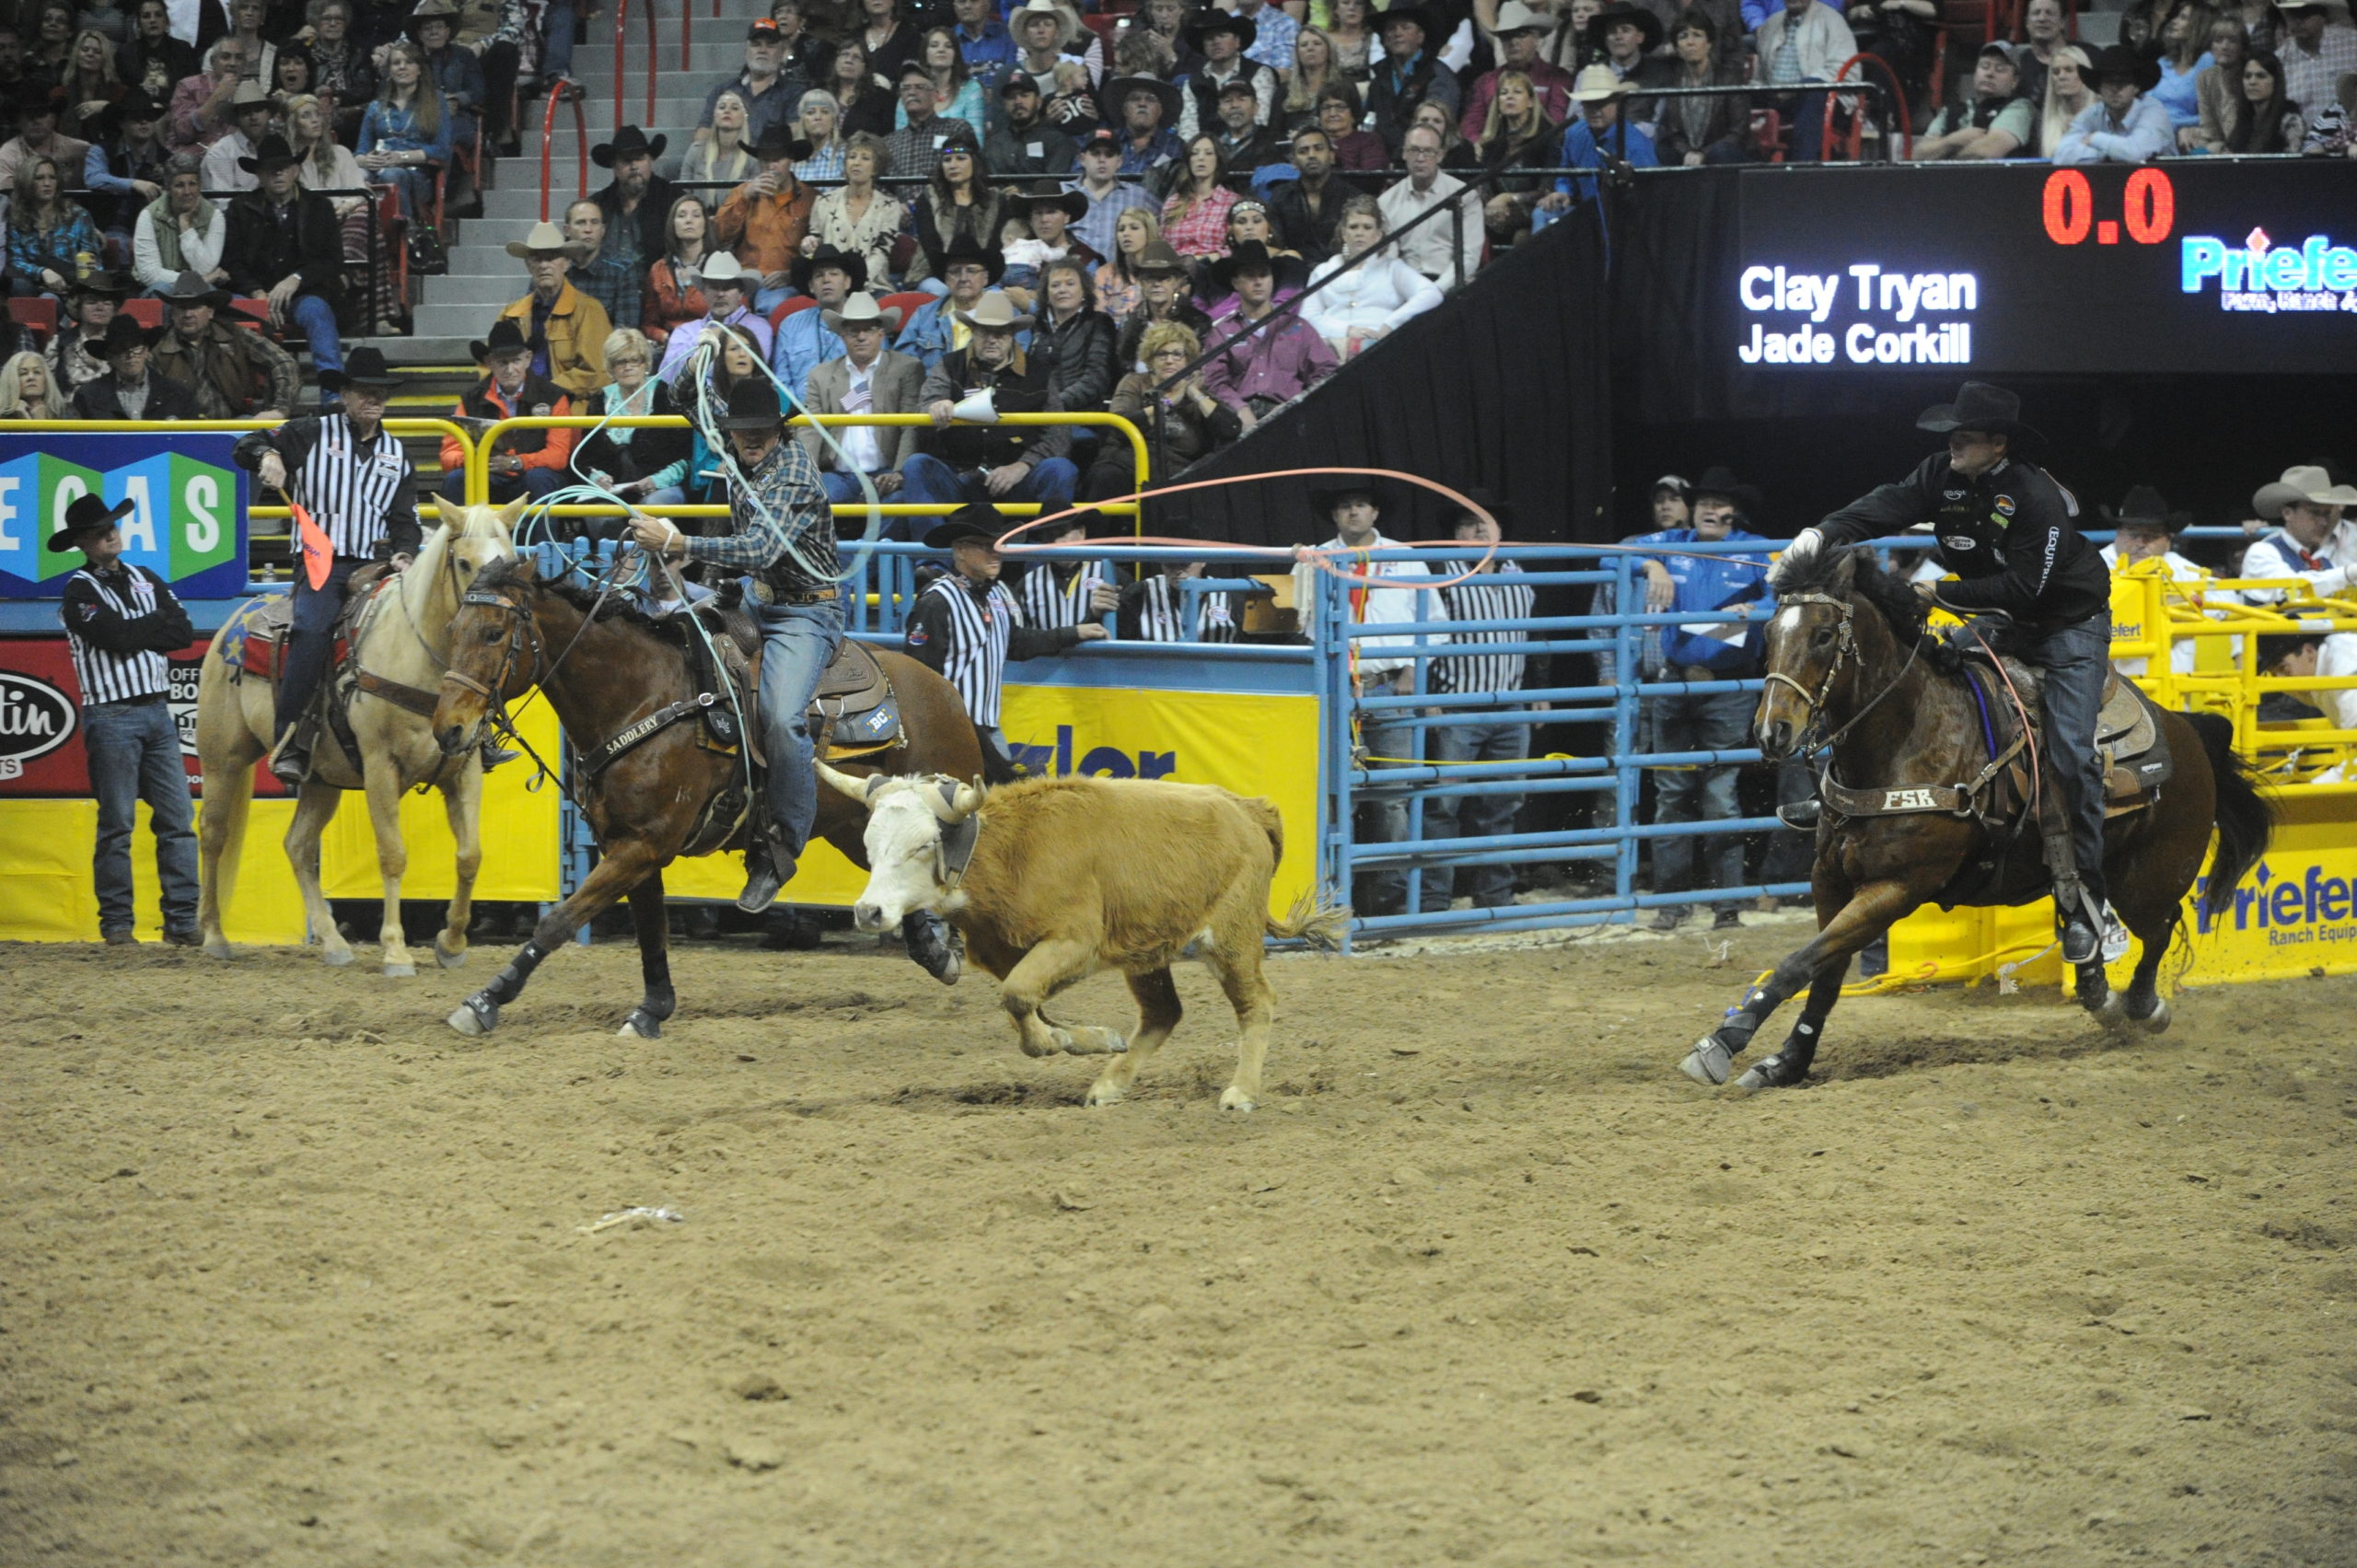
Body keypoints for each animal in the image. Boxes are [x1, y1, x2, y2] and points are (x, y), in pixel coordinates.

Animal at [192, 497, 525, 966]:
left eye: (512, 562)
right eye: (463, 562)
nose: (498, 623)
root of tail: (235, 620)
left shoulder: (463, 769)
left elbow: (469, 856)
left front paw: (452, 943)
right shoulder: (381, 768)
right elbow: (393, 856)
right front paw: (396, 951)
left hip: (321, 779)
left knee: (297, 845)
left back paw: (333, 942)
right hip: (223, 759)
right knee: (213, 833)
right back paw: (215, 935)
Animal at [424, 553, 985, 1037]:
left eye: (494, 633)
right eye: (453, 631)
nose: (448, 730)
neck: (641, 696)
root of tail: (946, 689)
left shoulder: (642, 846)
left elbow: (558, 922)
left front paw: (484, 1002)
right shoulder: (627, 846)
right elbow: (651, 929)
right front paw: (652, 1010)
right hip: (858, 826)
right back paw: (937, 955)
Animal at [1678, 544, 2262, 1094]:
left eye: (1823, 635)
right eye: (1770, 632)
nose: (1771, 731)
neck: (1908, 738)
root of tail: (2186, 729)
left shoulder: (1897, 887)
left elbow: (1799, 962)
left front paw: (1724, 1041)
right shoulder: (1830, 878)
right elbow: (1824, 972)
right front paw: (1786, 1062)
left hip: (2151, 877)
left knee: (2160, 931)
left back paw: (2141, 1006)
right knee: (2094, 926)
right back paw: (2100, 992)